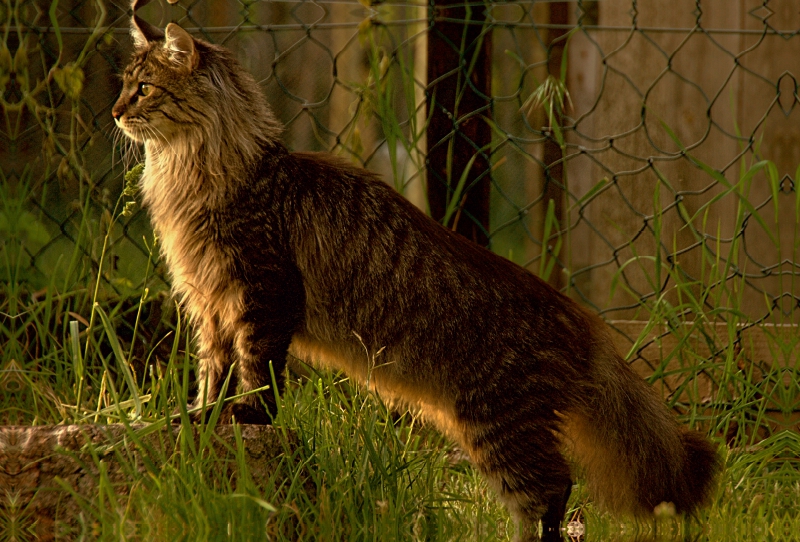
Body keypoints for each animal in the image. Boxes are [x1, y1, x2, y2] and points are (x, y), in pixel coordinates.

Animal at [111, 19, 720, 540]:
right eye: (126, 87)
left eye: (143, 89)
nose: (115, 113)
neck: (192, 170)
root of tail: (582, 323)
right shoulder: (210, 301)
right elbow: (212, 371)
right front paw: (202, 416)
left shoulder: (262, 291)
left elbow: (258, 372)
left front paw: (248, 417)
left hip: (499, 424)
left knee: (553, 492)